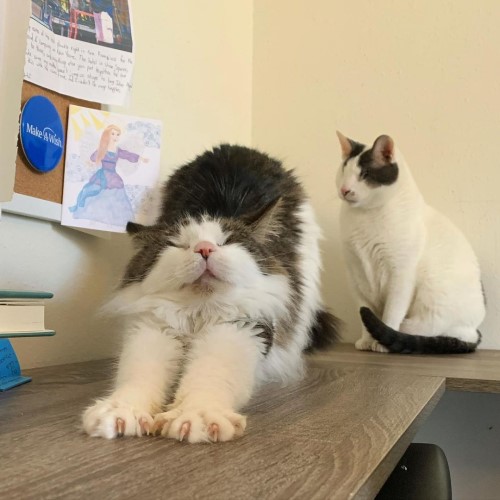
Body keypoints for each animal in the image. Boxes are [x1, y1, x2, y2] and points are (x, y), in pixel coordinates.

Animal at [83, 144, 340, 442]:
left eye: (226, 242)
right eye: (178, 245)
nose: (204, 248)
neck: (199, 313)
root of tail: (237, 148)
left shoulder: (238, 328)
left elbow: (209, 376)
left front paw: (196, 417)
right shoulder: (155, 328)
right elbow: (138, 376)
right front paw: (120, 412)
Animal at [336, 131, 484, 354]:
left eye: (365, 174)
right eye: (343, 171)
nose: (345, 189)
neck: (365, 217)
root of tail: (475, 333)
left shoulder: (401, 275)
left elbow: (391, 313)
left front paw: (380, 343)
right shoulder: (356, 276)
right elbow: (364, 312)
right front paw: (366, 340)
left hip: (430, 303)